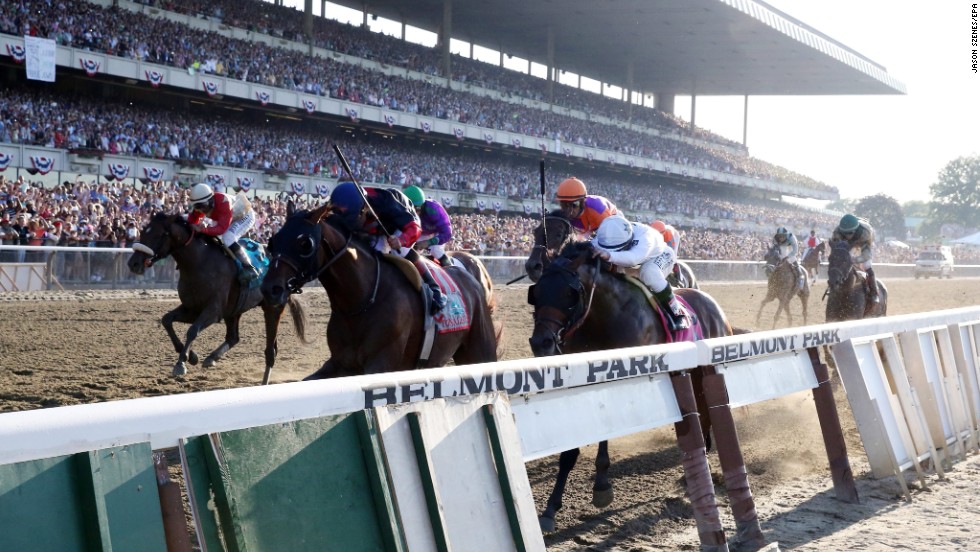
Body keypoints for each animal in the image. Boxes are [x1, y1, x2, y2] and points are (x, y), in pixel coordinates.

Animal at [126, 212, 308, 384]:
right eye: (142, 232)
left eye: (157, 235)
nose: (133, 264)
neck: (199, 263)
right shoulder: (191, 308)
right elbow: (166, 320)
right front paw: (191, 355)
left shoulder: (214, 311)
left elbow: (192, 330)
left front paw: (181, 363)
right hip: (234, 310)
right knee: (233, 337)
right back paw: (211, 358)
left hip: (272, 307)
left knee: (267, 347)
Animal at [258, 203, 498, 380]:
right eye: (272, 241)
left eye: (304, 243)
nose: (271, 288)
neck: (360, 302)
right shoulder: (341, 364)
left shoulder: (381, 363)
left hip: (479, 350)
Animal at [528, 243, 736, 536]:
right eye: (536, 292)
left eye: (569, 293)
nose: (541, 342)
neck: (605, 318)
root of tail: (712, 304)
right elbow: (571, 450)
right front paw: (550, 509)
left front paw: (602, 487)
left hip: (704, 369)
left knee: (706, 412)